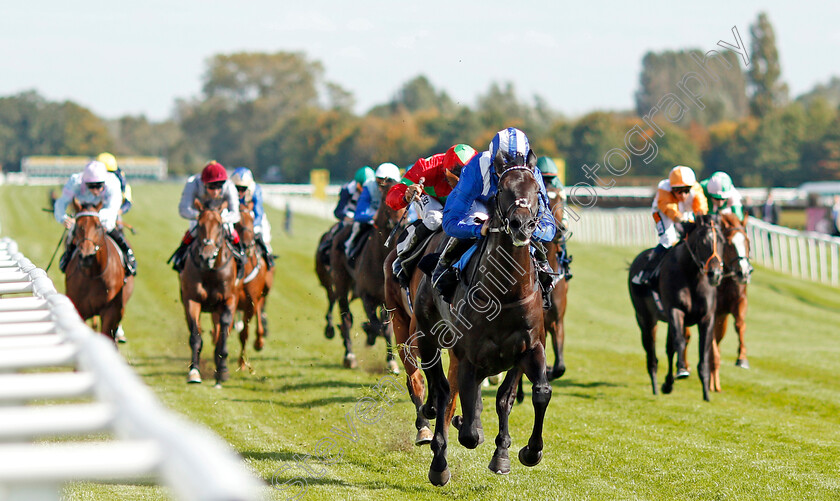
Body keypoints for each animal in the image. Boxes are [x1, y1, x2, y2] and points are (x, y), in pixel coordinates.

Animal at [65, 201, 133, 342]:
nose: (87, 257)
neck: (94, 274)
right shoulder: (79, 308)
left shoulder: (111, 311)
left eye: (97, 225)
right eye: (78, 226)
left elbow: (107, 334)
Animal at [179, 197, 240, 384]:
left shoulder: (229, 299)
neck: (210, 271)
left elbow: (223, 333)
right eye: (199, 224)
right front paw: (194, 371)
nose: (207, 256)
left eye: (219, 225)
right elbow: (195, 336)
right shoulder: (191, 300)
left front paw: (223, 369)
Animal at [412, 151, 552, 484]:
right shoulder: (468, 357)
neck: (505, 292)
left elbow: (534, 394)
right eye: (502, 189)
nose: (522, 225)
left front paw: (526, 452)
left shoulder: (530, 348)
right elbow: (469, 432)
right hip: (427, 337)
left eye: (536, 190)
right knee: (442, 391)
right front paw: (464, 430)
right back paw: (439, 461)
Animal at [628, 213, 724, 400]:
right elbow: (680, 341)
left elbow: (704, 351)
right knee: (651, 352)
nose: (715, 274)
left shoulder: (707, 318)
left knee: (668, 349)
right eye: (703, 241)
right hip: (646, 318)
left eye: (723, 241)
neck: (692, 276)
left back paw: (667, 384)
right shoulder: (675, 310)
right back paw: (656, 387)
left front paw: (706, 394)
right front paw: (682, 370)